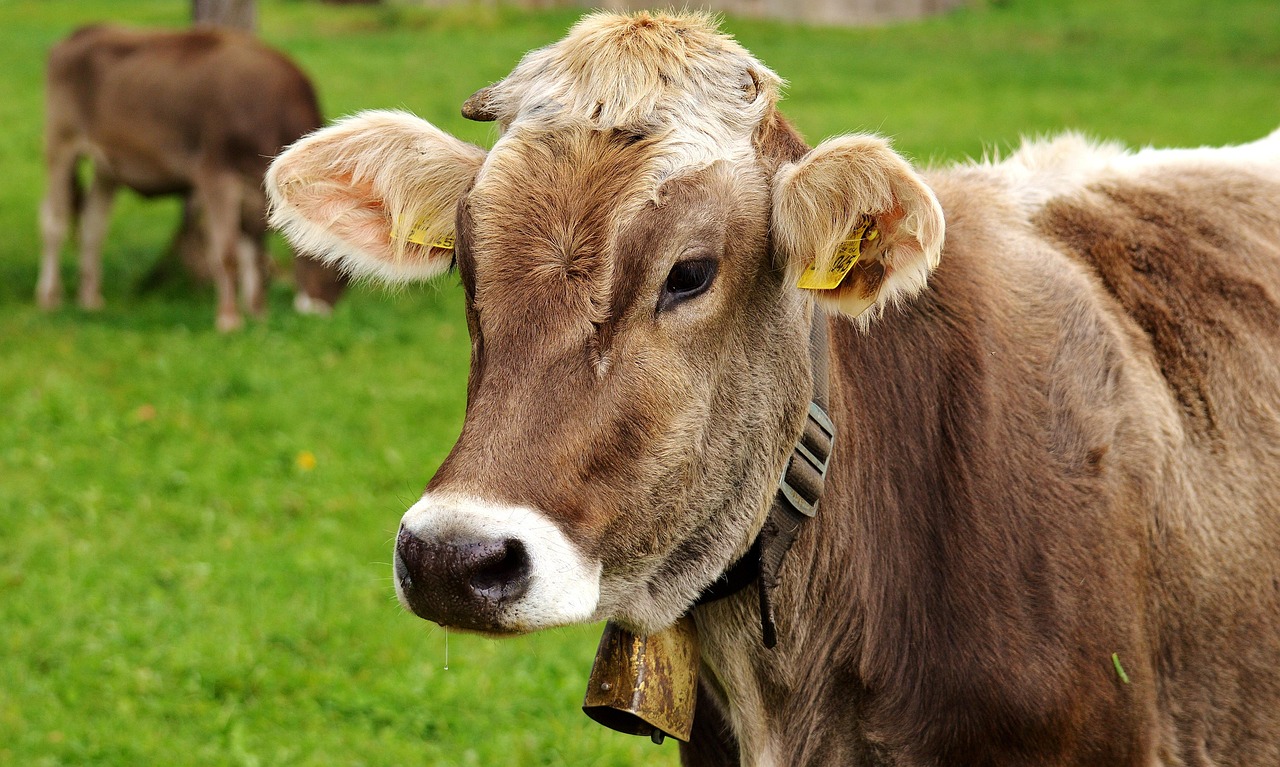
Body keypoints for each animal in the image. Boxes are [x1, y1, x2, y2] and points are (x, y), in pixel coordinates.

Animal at [37, 24, 348, 331]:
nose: (322, 310)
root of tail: (82, 32)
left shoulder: (254, 192)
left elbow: (254, 254)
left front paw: (258, 315)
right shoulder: (216, 176)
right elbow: (227, 252)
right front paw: (229, 318)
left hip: (107, 166)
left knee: (93, 225)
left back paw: (90, 298)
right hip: (61, 144)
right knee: (54, 220)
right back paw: (49, 296)